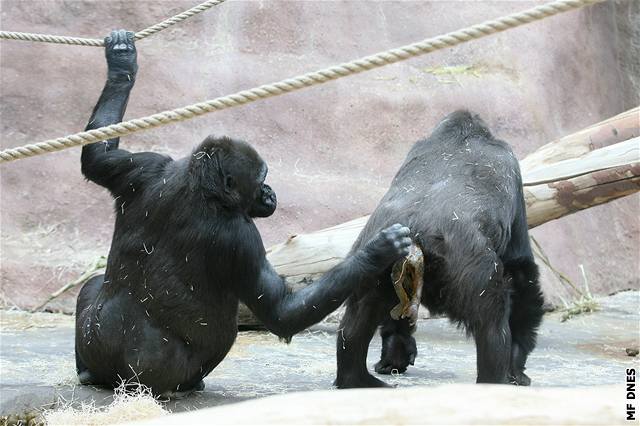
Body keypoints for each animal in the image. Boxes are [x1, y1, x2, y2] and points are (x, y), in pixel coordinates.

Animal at [76, 30, 410, 400]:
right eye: (261, 178)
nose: (270, 193)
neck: (201, 188)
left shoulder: (146, 167)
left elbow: (97, 156)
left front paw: (121, 64)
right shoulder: (240, 234)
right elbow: (281, 312)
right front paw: (377, 251)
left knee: (91, 288)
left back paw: (87, 371)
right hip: (154, 379)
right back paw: (190, 384)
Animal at [336, 110, 544, 390]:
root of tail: (414, 234)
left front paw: (396, 350)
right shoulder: (512, 165)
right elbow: (521, 270)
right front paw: (517, 361)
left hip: (371, 257)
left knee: (358, 316)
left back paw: (355, 378)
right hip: (470, 273)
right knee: (492, 322)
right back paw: (494, 381)